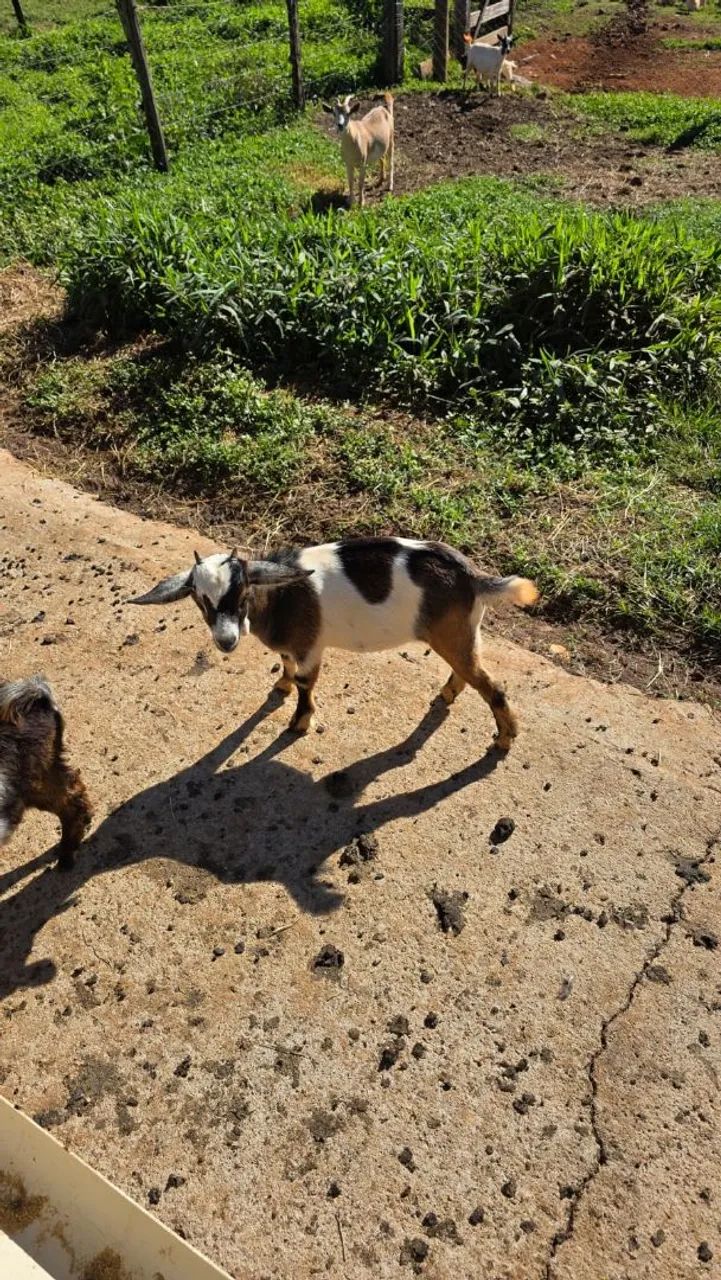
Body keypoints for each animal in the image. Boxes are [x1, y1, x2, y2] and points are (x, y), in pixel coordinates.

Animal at [131, 540, 538, 751]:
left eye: (243, 591)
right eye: (199, 599)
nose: (226, 639)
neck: (279, 598)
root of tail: (473, 577)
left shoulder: (310, 645)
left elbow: (305, 683)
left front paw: (299, 722)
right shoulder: (292, 645)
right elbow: (286, 665)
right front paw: (280, 685)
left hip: (452, 634)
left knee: (492, 685)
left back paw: (505, 739)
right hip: (460, 635)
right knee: (466, 671)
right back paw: (449, 694)